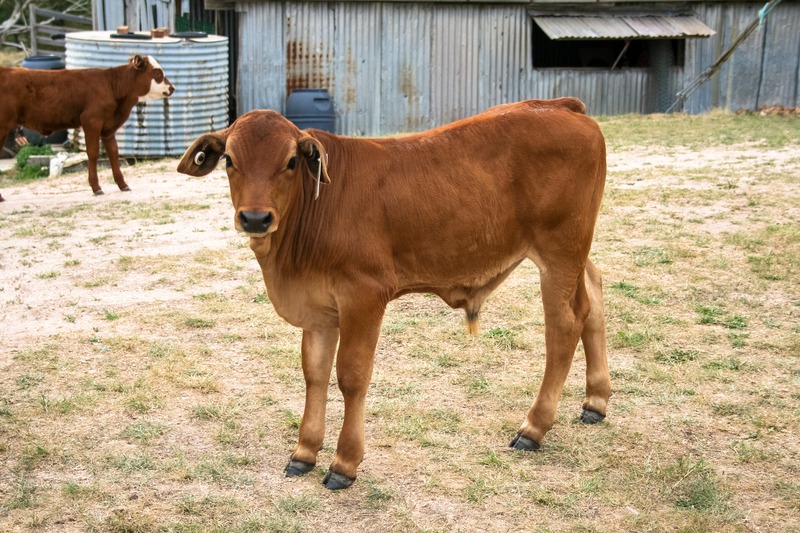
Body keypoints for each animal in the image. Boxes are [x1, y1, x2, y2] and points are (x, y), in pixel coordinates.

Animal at [0, 54, 174, 201]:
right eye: (157, 73)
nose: (172, 88)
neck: (110, 86)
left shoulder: (108, 129)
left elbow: (113, 153)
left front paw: (122, 184)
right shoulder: (91, 122)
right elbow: (93, 153)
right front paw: (96, 187)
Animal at [177, 97, 611, 490]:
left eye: (291, 161)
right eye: (229, 160)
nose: (255, 218)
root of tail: (562, 106)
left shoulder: (364, 296)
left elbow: (351, 375)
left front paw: (344, 463)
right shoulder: (319, 307)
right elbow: (314, 373)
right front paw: (304, 452)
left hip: (560, 250)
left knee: (564, 326)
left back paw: (534, 428)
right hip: (576, 253)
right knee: (593, 295)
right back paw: (596, 401)